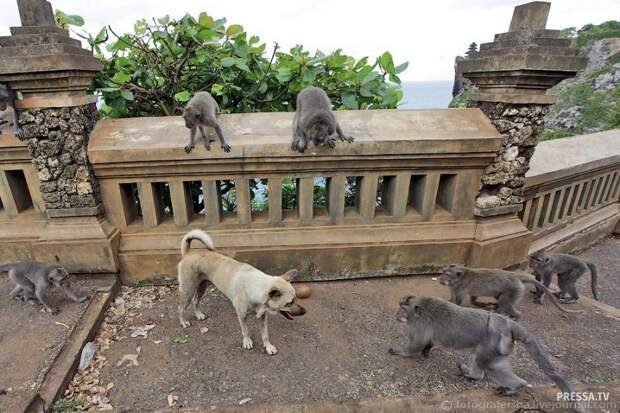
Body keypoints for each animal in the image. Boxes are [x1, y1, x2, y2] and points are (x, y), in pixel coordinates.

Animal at [177, 229, 306, 354]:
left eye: (295, 299)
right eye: (289, 303)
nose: (305, 311)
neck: (256, 287)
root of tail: (188, 252)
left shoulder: (263, 316)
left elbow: (265, 334)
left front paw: (268, 346)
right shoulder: (242, 316)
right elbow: (246, 330)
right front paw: (247, 341)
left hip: (202, 286)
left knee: (195, 301)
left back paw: (198, 315)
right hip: (188, 290)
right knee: (181, 307)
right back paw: (183, 322)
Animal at [390, 296, 584, 412]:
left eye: (403, 308)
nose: (397, 314)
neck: (423, 305)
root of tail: (507, 323)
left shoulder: (420, 323)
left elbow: (416, 343)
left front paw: (400, 351)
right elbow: (427, 342)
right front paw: (427, 350)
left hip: (495, 343)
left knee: (487, 363)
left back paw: (515, 386)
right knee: (479, 356)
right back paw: (472, 375)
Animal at [438, 264, 584, 318]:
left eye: (447, 274)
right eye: (443, 272)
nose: (440, 279)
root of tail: (516, 276)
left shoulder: (460, 287)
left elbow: (458, 301)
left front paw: (452, 304)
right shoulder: (455, 287)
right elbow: (473, 296)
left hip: (515, 290)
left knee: (505, 302)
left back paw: (514, 316)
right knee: (500, 299)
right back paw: (496, 309)